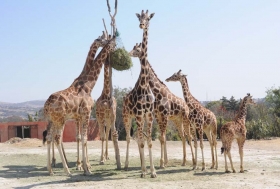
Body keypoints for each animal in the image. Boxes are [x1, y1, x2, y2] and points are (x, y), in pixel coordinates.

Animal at [43, 35, 115, 176]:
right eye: (102, 40)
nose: (114, 48)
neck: (88, 85)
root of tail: (47, 105)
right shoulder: (86, 113)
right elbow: (84, 138)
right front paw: (86, 168)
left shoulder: (80, 116)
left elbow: (81, 138)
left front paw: (85, 166)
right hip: (60, 119)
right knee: (57, 138)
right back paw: (66, 170)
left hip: (51, 120)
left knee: (49, 137)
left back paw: (50, 169)